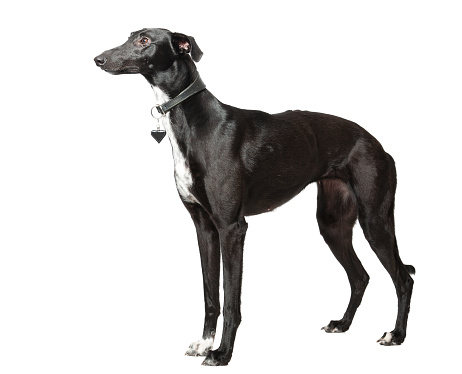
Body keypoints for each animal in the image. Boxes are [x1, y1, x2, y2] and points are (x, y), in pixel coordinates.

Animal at [94, 28, 416, 366]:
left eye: (144, 41)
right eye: (130, 36)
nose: (98, 59)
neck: (195, 122)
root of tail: (378, 145)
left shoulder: (232, 228)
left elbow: (231, 300)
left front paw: (222, 353)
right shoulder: (204, 228)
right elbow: (211, 295)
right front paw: (203, 343)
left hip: (375, 220)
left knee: (403, 278)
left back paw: (397, 335)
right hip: (333, 225)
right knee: (360, 277)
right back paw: (342, 324)